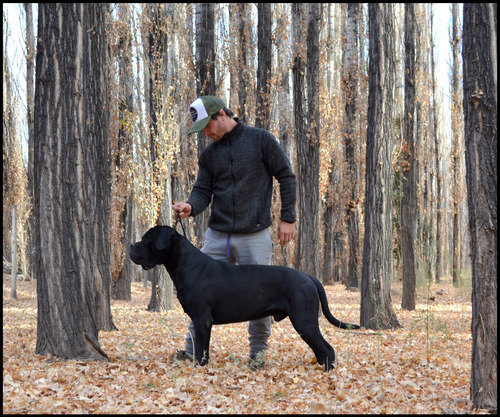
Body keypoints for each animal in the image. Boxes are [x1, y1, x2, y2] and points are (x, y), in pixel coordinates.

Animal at [131, 224, 362, 370]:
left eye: (146, 239)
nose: (132, 246)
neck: (185, 264)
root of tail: (309, 277)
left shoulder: (201, 319)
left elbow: (202, 349)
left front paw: (199, 368)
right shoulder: (202, 321)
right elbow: (201, 347)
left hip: (304, 321)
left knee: (327, 349)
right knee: (321, 350)